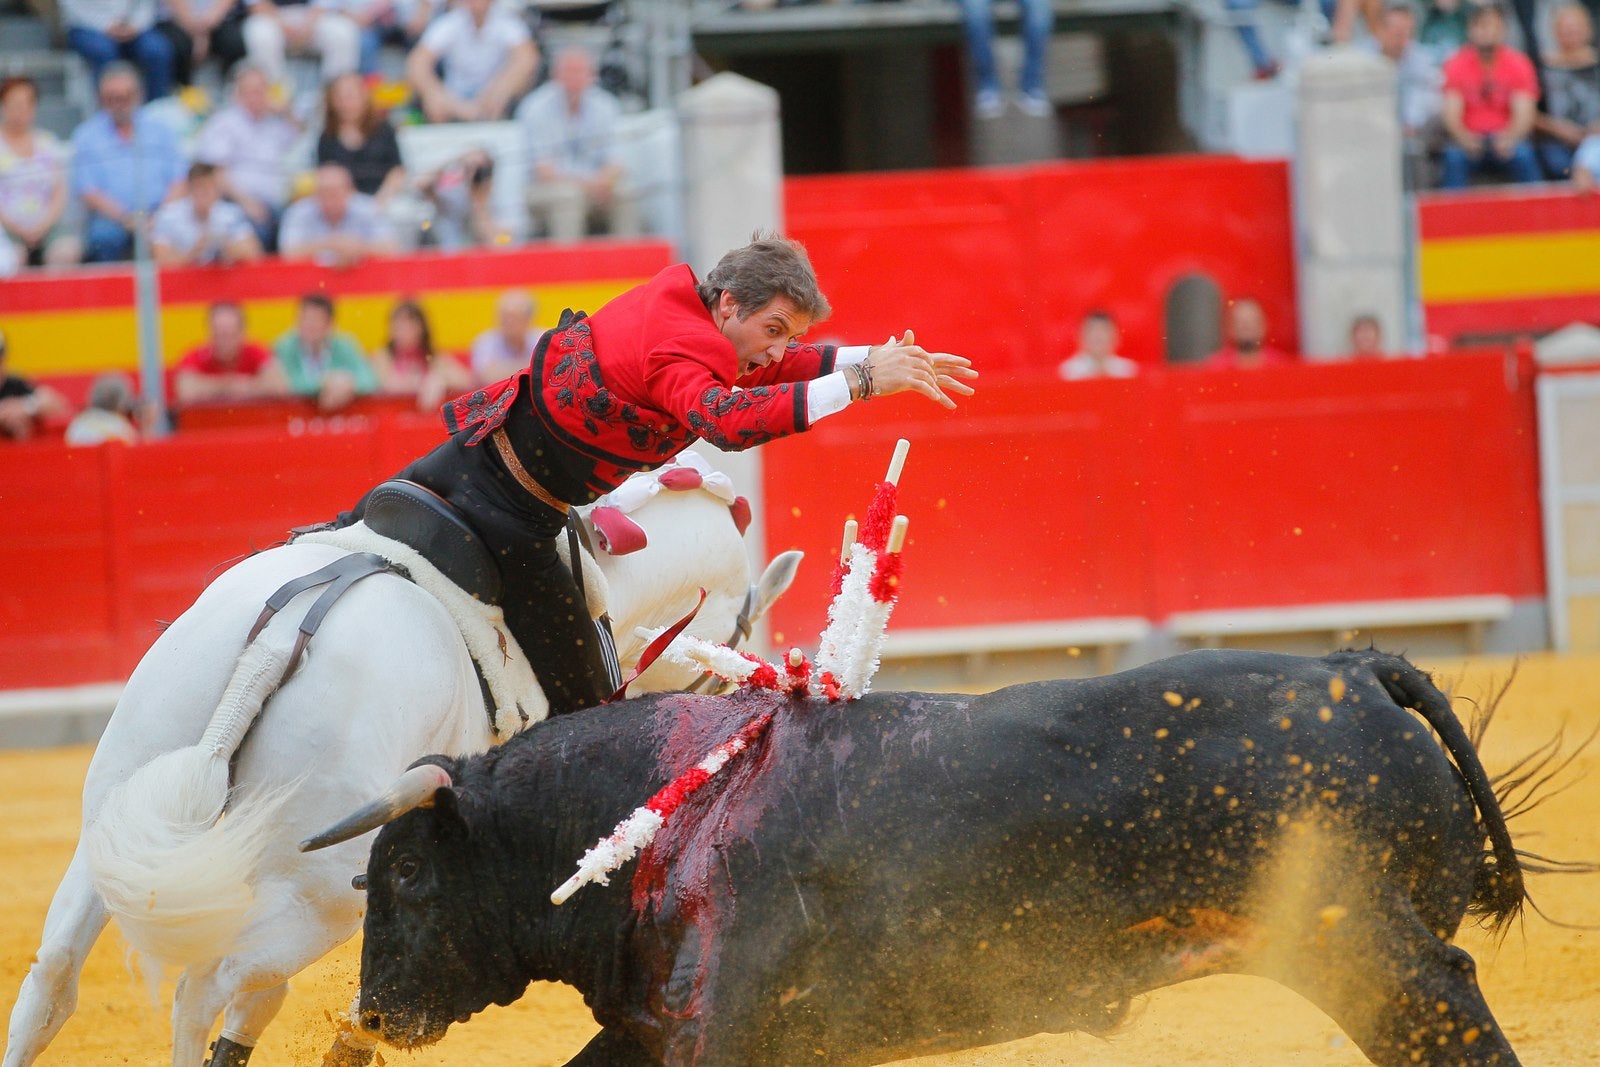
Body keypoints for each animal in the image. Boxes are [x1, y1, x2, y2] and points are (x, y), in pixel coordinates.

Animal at [0, 463, 800, 1067]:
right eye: (736, 637)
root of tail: (278, 641)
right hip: (318, 894)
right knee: (201, 987)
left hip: (121, 823)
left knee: (55, 979)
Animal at [334, 652, 1523, 1067]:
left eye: (407, 874)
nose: (373, 1012)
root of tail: (1351, 665)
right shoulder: (658, 1031)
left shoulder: (724, 1029)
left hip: (1364, 940)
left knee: (1447, 1006)